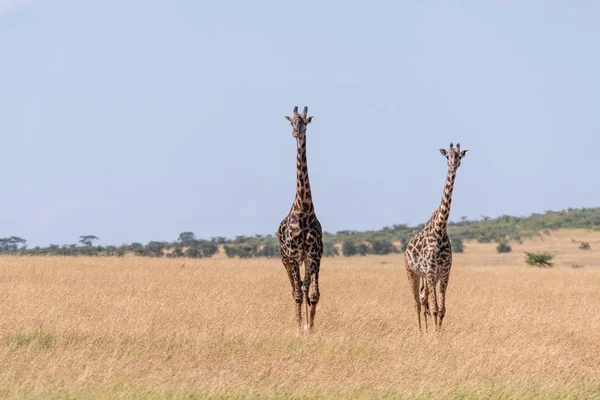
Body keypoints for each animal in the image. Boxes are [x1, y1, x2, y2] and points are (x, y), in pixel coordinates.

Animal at [404, 141, 468, 332]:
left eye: (459, 156)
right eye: (447, 155)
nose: (453, 165)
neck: (439, 230)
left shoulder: (445, 271)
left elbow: (441, 309)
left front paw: (438, 333)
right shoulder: (431, 271)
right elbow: (433, 308)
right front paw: (434, 335)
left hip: (426, 276)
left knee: (423, 297)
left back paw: (425, 331)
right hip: (411, 272)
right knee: (417, 302)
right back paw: (420, 332)